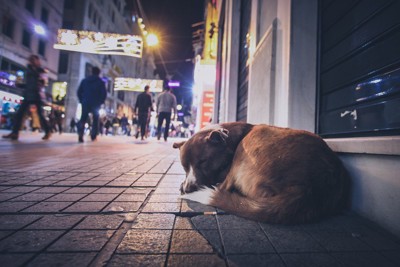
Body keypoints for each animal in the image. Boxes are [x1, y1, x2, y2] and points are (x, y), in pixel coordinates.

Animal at [172, 122, 350, 225]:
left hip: (251, 140)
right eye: (184, 167)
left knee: (223, 187)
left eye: (203, 161)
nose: (188, 189)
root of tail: (306, 190)